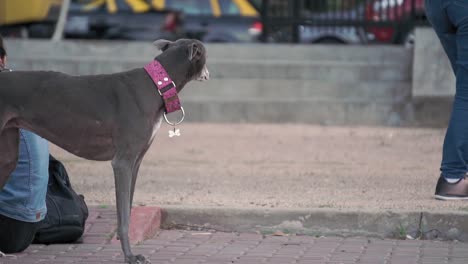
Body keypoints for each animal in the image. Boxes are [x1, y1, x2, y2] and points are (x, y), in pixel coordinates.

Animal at [0, 38, 209, 262]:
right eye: (205, 53)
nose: (208, 74)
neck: (155, 85)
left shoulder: (135, 163)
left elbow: (127, 209)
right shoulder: (122, 163)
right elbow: (124, 215)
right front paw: (130, 256)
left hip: (8, 155)